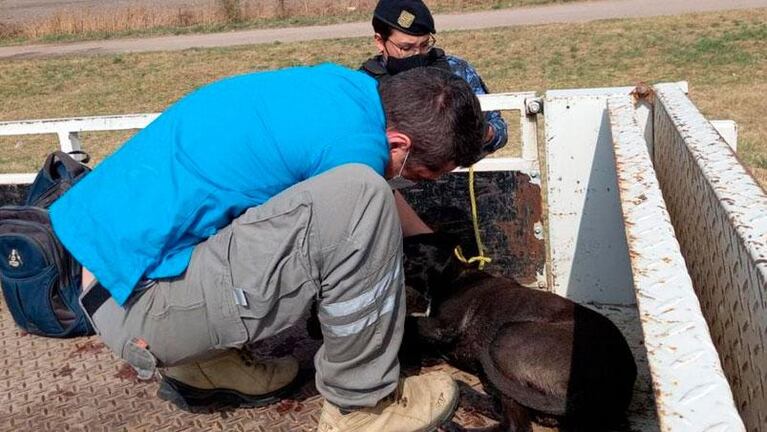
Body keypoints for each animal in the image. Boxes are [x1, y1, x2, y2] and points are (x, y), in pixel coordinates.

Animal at [404, 235, 640, 430]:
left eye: (410, 251)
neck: (452, 275)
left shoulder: (444, 326)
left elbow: (410, 323)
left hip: (504, 339)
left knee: (514, 425)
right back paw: (466, 395)